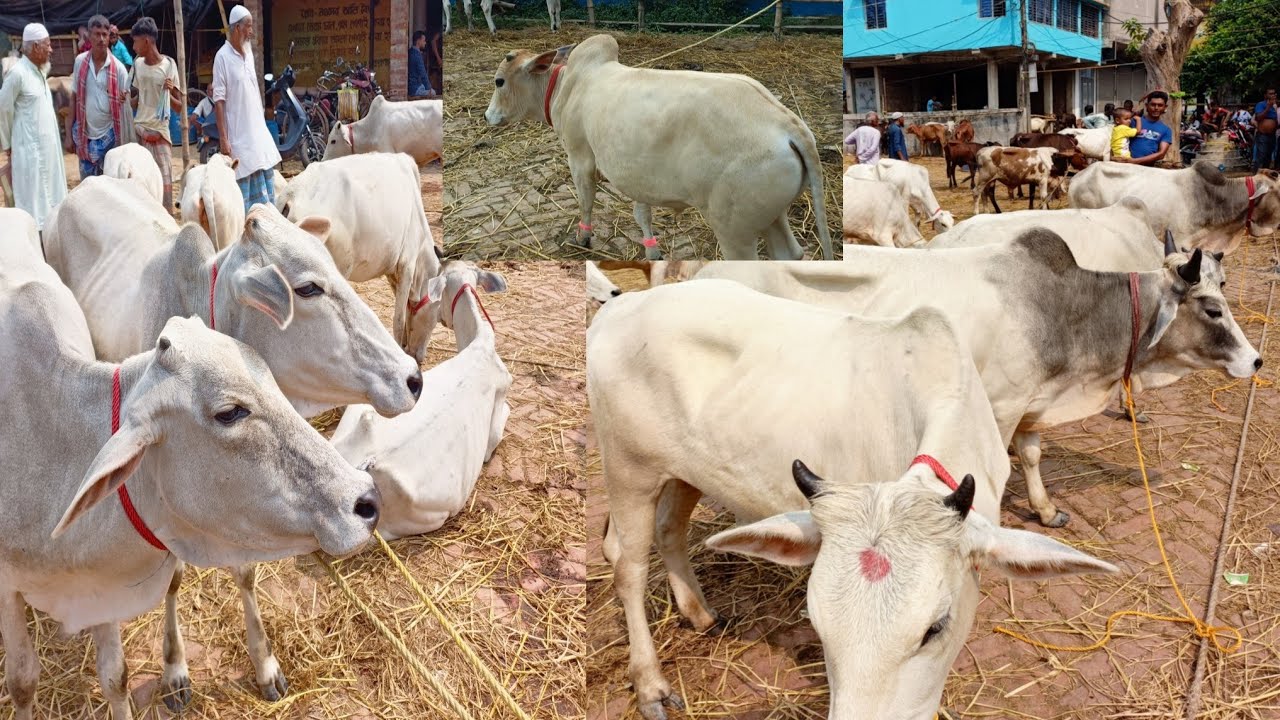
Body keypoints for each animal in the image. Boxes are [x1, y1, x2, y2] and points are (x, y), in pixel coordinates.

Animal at [42, 177, 423, 709]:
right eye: (308, 287)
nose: (412, 378)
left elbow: (245, 574)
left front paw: (265, 665)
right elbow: (175, 578)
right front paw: (174, 669)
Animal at [275, 152, 443, 362]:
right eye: (437, 316)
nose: (419, 356)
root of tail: (291, 195)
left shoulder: (393, 271)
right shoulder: (407, 265)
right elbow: (399, 319)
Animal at [483, 34, 832, 261]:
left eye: (499, 81)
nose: (488, 116)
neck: (565, 86)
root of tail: (788, 124)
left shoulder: (580, 157)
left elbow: (586, 201)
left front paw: (583, 237)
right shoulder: (638, 176)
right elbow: (642, 213)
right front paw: (652, 250)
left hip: (734, 231)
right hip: (771, 216)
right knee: (790, 254)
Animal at [589, 278, 1117, 720]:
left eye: (935, 628)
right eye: (818, 627)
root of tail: (620, 307)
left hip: (684, 471)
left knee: (669, 530)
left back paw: (698, 612)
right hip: (628, 468)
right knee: (628, 566)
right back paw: (651, 684)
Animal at [697, 231, 1261, 528]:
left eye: (1225, 291)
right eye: (1212, 309)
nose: (1255, 361)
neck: (1063, 310)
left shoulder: (1032, 401)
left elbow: (1030, 456)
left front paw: (1046, 510)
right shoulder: (1003, 405)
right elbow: (1000, 467)